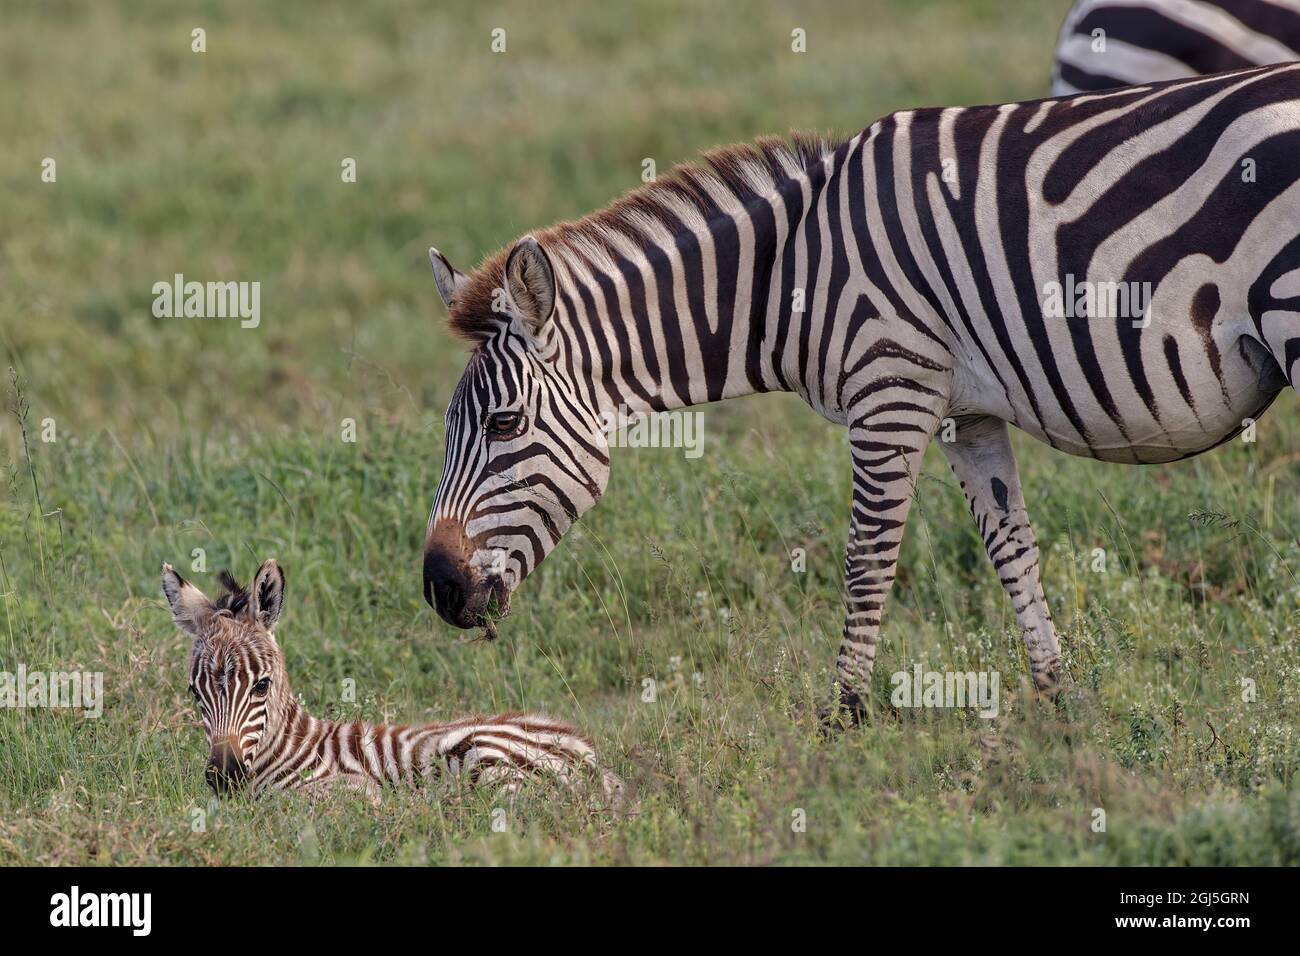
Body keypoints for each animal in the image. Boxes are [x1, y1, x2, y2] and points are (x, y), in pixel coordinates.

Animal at [161, 560, 622, 801]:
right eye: (195, 693)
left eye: (262, 685)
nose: (223, 778)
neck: (291, 751)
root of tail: (587, 754)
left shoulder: (352, 793)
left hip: (484, 759)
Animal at [423, 62, 1300, 723]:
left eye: (505, 424)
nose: (438, 590)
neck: (788, 274)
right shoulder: (966, 415)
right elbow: (1011, 545)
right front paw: (1058, 701)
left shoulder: (891, 388)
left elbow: (867, 558)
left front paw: (842, 715)